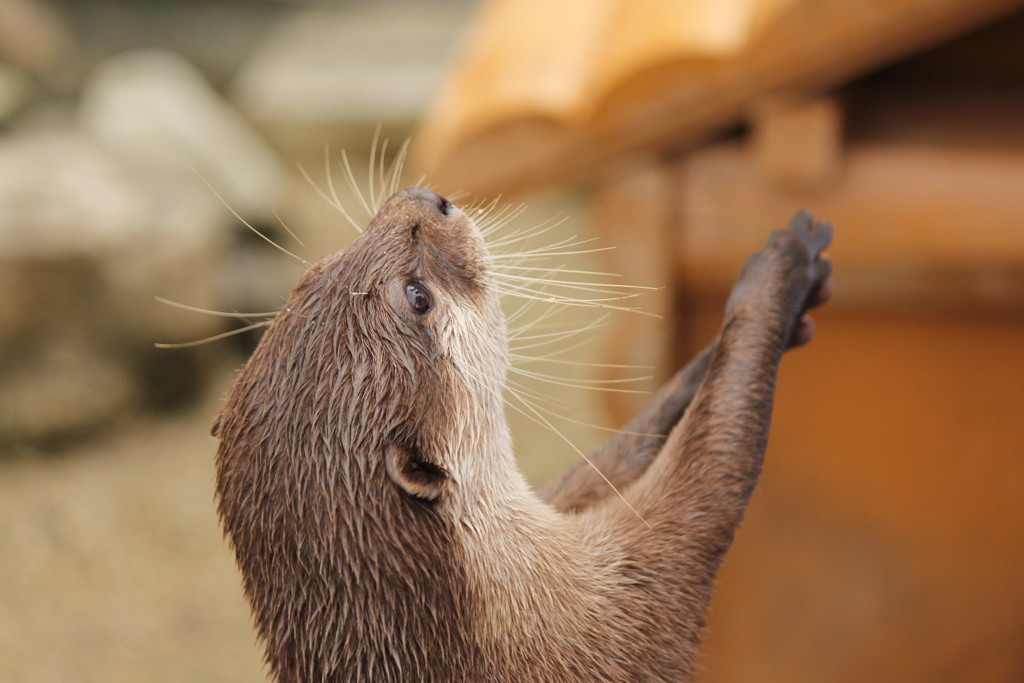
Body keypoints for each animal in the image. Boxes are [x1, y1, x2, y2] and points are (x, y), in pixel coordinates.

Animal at [214, 188, 831, 683]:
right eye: (417, 297)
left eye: (315, 270)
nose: (426, 198)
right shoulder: (629, 591)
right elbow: (713, 465)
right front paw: (780, 266)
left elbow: (618, 455)